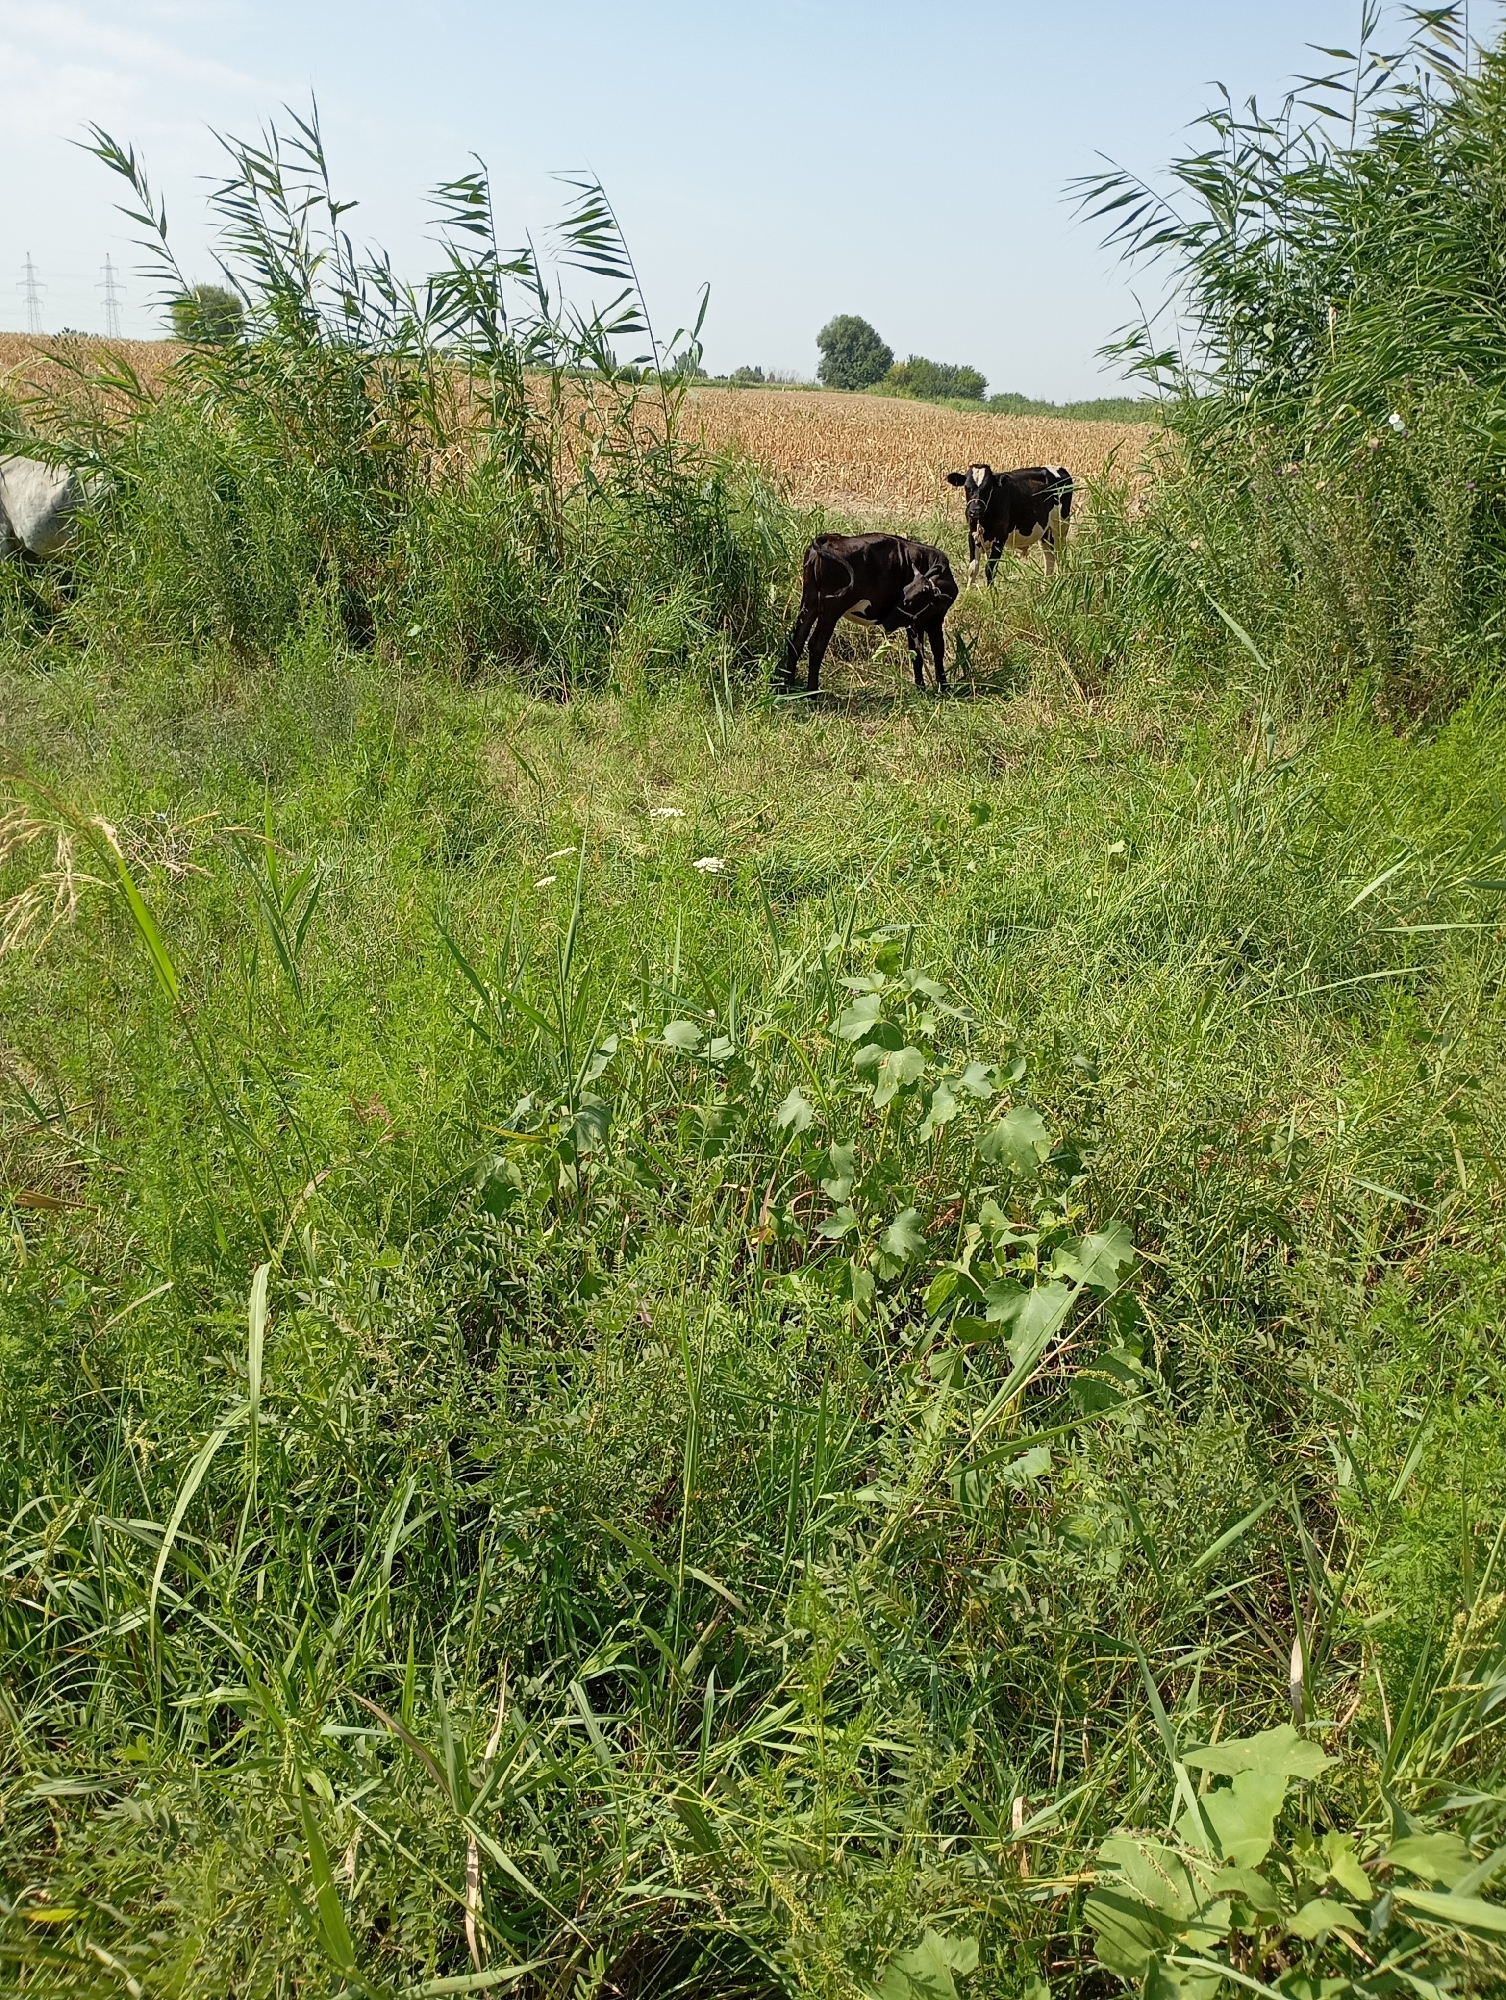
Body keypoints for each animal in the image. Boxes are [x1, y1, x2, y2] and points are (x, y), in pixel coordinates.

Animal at [782, 533, 958, 695]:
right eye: (904, 596)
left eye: (910, 600)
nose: (888, 622)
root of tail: (829, 538)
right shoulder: (928, 621)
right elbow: (933, 651)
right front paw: (942, 689)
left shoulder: (920, 623)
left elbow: (921, 653)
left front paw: (924, 688)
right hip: (832, 608)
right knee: (816, 644)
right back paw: (812, 692)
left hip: (810, 602)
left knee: (796, 640)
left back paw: (787, 687)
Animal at [945, 463, 1073, 584]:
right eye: (967, 488)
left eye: (987, 488)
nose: (976, 510)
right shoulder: (973, 534)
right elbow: (972, 569)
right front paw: (969, 591)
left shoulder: (1000, 537)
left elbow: (990, 569)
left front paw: (991, 592)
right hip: (1045, 531)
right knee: (1049, 558)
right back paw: (1047, 586)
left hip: (1060, 527)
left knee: (1060, 556)